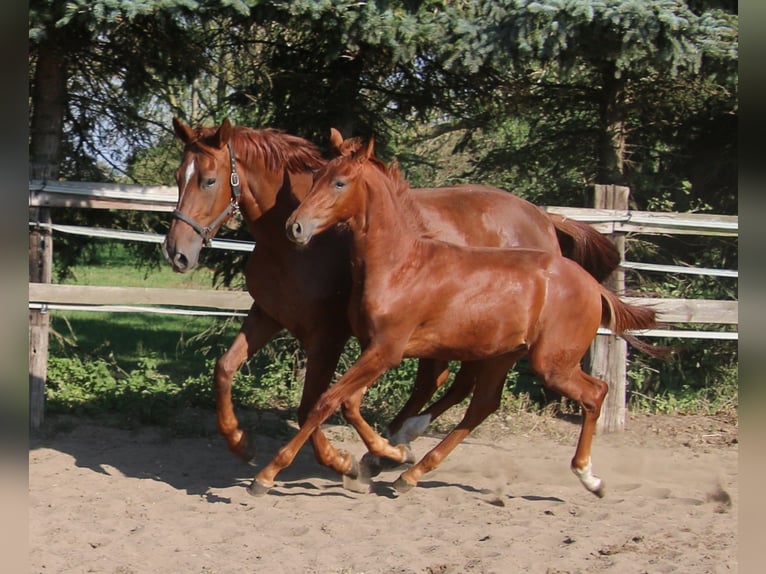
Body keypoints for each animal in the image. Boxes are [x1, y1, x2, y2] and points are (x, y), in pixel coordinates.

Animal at [165, 119, 620, 484]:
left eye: (208, 180)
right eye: (177, 175)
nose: (177, 253)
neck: (289, 245)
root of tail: (547, 220)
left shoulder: (328, 335)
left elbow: (311, 404)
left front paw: (339, 461)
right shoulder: (269, 314)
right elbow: (225, 369)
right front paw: (240, 442)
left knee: (454, 387)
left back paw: (394, 447)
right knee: (453, 387)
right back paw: (397, 444)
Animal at [272, 135, 656, 500]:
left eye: (339, 182)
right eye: (316, 177)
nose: (295, 227)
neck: (400, 265)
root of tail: (594, 286)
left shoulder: (386, 350)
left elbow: (326, 401)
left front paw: (270, 474)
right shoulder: (373, 348)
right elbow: (349, 403)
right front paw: (385, 454)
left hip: (551, 364)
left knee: (595, 392)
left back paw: (590, 478)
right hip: (504, 355)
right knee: (482, 404)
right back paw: (410, 473)